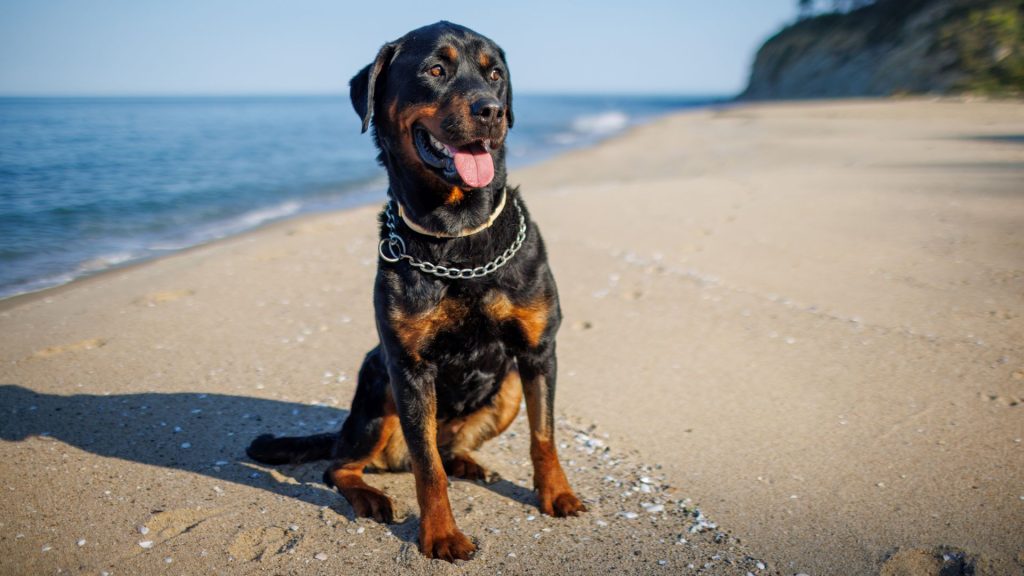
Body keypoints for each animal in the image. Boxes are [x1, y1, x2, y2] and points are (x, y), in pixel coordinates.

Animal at [244, 21, 585, 561]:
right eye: (436, 70)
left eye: (496, 74)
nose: (491, 110)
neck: (457, 235)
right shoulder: (409, 367)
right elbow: (428, 470)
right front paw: (441, 534)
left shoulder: (538, 351)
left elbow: (544, 436)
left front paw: (557, 494)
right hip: (379, 389)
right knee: (342, 464)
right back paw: (371, 495)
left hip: (508, 386)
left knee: (449, 447)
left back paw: (467, 462)